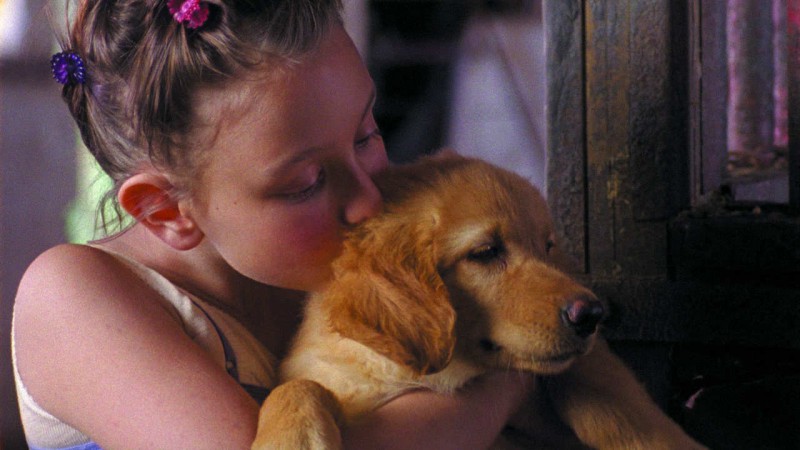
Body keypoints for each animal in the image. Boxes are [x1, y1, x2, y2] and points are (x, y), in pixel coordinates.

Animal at [252, 152, 706, 449]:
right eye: (486, 252)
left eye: (547, 247)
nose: (593, 314)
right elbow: (296, 386)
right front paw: (291, 440)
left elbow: (605, 388)